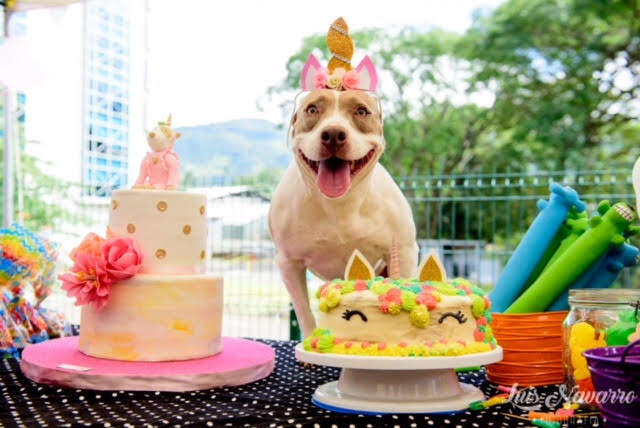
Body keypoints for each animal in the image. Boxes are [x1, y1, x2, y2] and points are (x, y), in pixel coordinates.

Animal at [268, 89, 418, 338]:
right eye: (312, 109)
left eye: (361, 111)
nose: (333, 134)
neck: (341, 204)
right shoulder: (289, 262)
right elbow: (304, 311)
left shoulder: (404, 251)